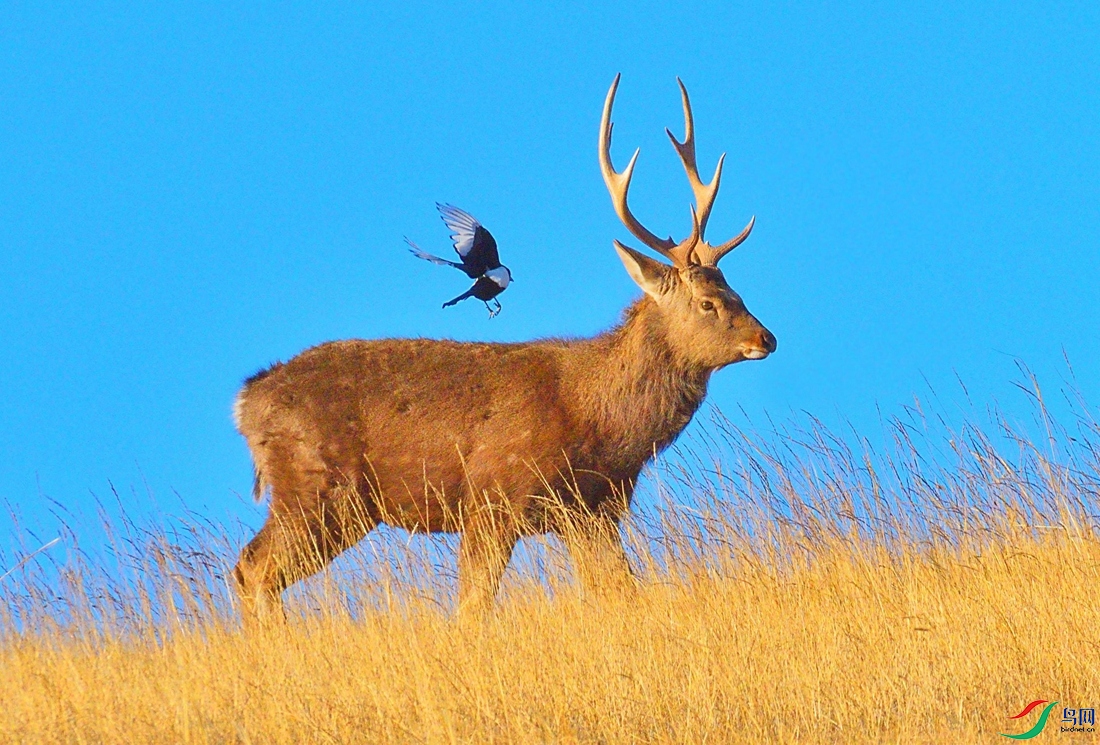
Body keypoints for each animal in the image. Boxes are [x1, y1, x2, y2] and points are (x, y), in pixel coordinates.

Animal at [231, 75, 774, 620]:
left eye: (739, 292)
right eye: (707, 303)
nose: (766, 338)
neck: (598, 418)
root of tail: (246, 402)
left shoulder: (593, 509)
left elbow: (618, 589)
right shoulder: (494, 495)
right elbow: (473, 604)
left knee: (249, 568)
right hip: (316, 486)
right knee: (255, 568)